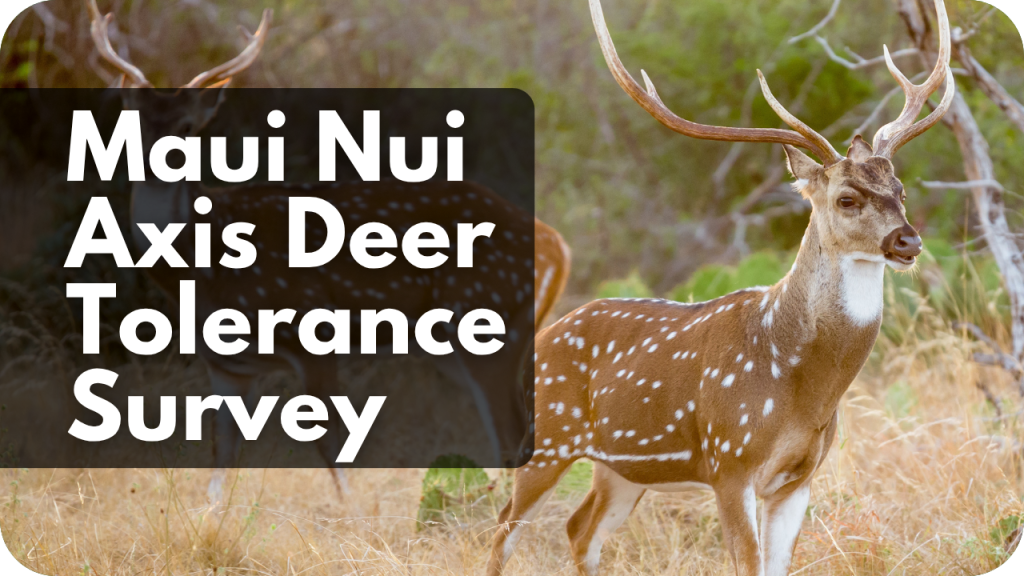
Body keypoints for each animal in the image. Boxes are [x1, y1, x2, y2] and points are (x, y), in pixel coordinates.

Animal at [85, 0, 566, 505]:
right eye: (133, 122)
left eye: (188, 127)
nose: (153, 164)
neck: (205, 274)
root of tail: (559, 246)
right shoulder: (225, 365)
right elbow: (221, 463)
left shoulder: (311, 331)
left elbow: (331, 445)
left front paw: (351, 513)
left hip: (491, 324)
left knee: (516, 435)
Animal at [487, 0, 954, 574]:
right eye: (847, 198)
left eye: (900, 190)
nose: (908, 241)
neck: (803, 386)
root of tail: (546, 336)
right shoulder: (731, 461)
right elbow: (747, 563)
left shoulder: (799, 478)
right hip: (549, 438)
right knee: (503, 532)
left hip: (621, 466)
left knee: (580, 529)